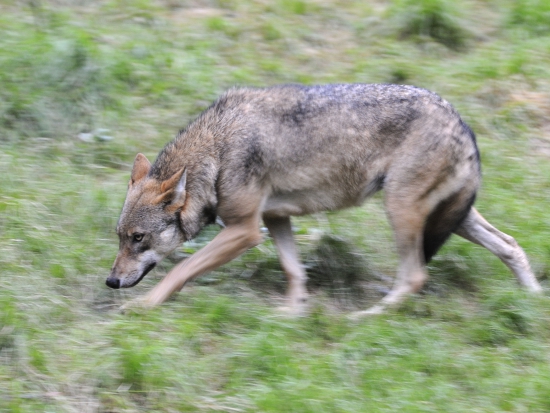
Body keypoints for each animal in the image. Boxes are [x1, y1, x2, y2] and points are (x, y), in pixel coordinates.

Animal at [107, 84, 541, 316]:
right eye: (119, 237)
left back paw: (367, 318)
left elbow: (182, 269)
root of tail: (461, 121)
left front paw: (144, 307)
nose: (110, 282)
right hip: (452, 216)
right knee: (511, 244)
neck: (217, 150)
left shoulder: (246, 231)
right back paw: (534, 299)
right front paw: (291, 313)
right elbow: (294, 271)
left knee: (415, 277)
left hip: (401, 210)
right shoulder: (275, 220)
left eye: (139, 239)